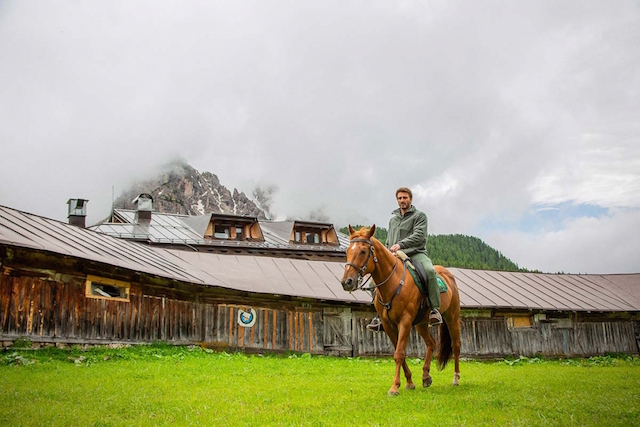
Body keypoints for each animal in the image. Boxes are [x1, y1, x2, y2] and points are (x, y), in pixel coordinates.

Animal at [340, 226, 460, 396]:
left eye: (363, 251)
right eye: (347, 251)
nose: (347, 282)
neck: (393, 282)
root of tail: (447, 274)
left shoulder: (405, 322)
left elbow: (399, 353)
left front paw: (394, 387)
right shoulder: (388, 325)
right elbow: (400, 353)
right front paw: (409, 382)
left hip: (452, 317)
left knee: (456, 345)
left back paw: (456, 378)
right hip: (421, 324)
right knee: (431, 343)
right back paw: (426, 376)